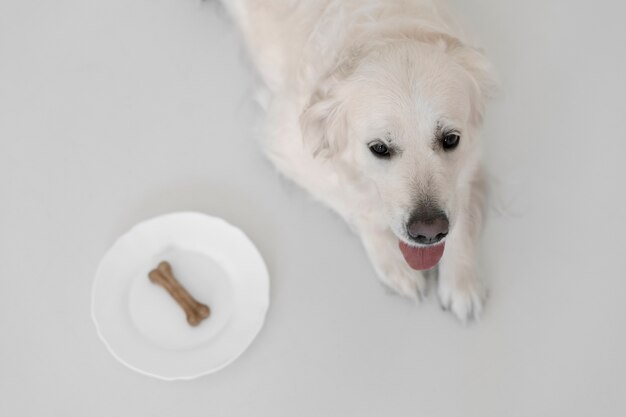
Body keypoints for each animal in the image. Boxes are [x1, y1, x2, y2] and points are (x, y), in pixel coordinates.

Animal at [219, 0, 492, 322]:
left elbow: (460, 208)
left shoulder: (470, 152)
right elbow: (355, 202)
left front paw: (462, 279)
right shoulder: (286, 143)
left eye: (450, 139)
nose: (429, 233)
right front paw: (394, 262)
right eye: (379, 148)